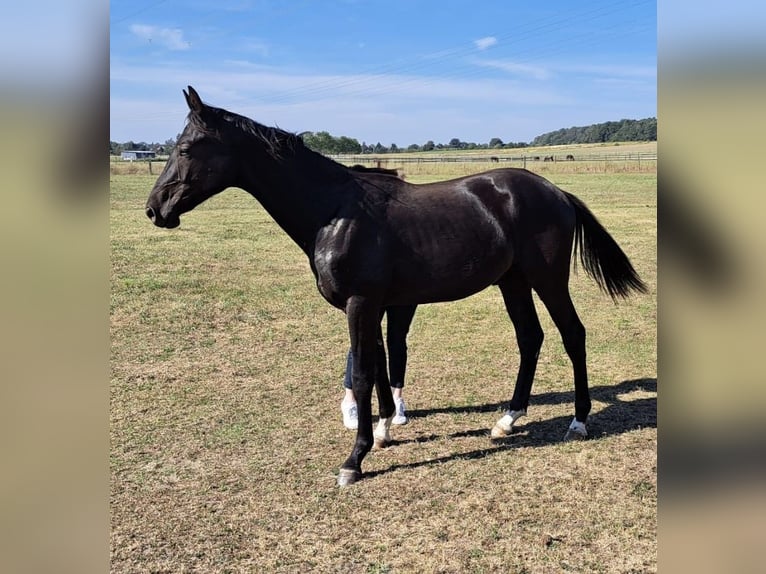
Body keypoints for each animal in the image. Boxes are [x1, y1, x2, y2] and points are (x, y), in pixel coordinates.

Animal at [144, 88, 648, 488]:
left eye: (186, 148)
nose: (155, 209)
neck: (335, 211)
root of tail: (557, 192)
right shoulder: (379, 306)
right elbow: (382, 365)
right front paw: (386, 430)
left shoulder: (361, 304)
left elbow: (365, 373)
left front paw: (355, 459)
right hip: (513, 282)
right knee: (531, 338)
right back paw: (507, 419)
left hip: (547, 279)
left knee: (572, 335)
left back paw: (579, 421)